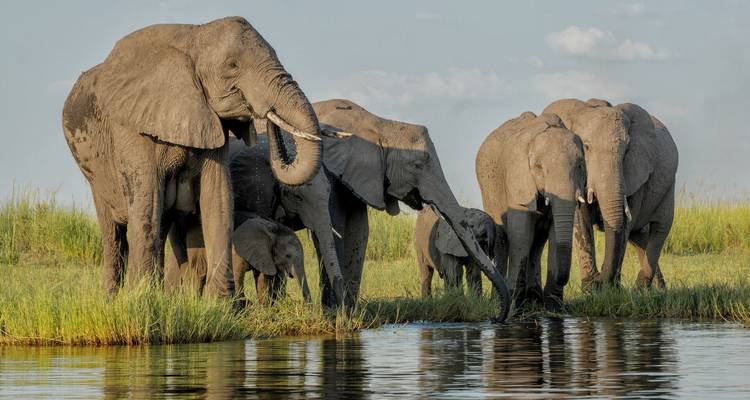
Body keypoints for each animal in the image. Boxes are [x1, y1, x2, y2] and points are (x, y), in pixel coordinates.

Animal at [62, 17, 323, 296]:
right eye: (232, 65)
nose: (265, 111)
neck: (194, 36)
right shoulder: (133, 129)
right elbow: (147, 205)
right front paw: (141, 298)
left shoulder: (211, 121)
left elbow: (218, 200)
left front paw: (221, 302)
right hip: (94, 173)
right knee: (113, 234)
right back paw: (114, 298)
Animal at [314, 99, 511, 321]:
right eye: (417, 165)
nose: (494, 318)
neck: (380, 124)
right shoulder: (327, 172)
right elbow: (333, 230)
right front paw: (337, 315)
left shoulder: (361, 177)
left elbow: (359, 232)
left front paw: (350, 313)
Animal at [476, 111, 586, 309]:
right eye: (539, 168)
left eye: (580, 165)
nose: (564, 280)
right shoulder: (519, 179)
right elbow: (521, 234)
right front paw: (515, 305)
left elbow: (555, 234)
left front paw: (554, 307)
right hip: (488, 190)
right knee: (503, 239)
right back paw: (501, 300)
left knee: (538, 242)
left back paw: (534, 300)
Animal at [542, 99, 678, 289]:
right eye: (586, 147)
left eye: (626, 151)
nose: (600, 277)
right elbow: (580, 221)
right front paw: (591, 288)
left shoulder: (636, 173)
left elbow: (625, 223)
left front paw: (611, 288)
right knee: (640, 237)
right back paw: (653, 289)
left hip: (669, 186)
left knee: (659, 229)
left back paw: (642, 288)